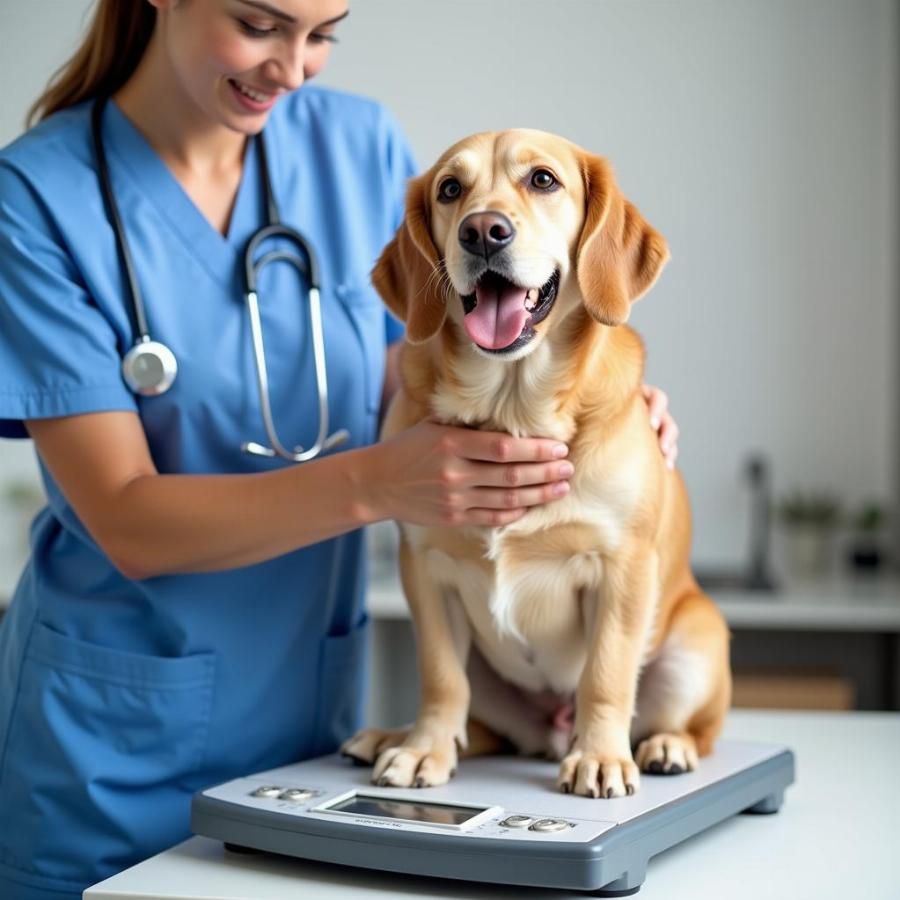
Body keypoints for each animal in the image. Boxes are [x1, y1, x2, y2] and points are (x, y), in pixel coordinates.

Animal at [342, 130, 732, 800]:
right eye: (451, 189)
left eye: (543, 180)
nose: (482, 231)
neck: (511, 407)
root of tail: (547, 731)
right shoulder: (426, 568)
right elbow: (440, 678)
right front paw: (423, 750)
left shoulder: (622, 569)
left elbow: (606, 676)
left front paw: (599, 757)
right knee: (478, 723)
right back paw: (395, 736)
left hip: (694, 649)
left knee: (689, 727)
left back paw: (663, 746)